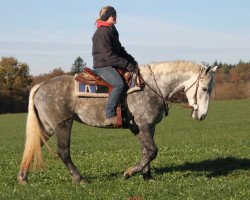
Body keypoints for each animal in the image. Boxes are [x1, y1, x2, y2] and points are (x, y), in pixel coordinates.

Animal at [17, 60, 217, 184]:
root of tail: (41, 85)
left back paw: (22, 177)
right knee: (63, 152)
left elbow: (146, 151)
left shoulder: (148, 127)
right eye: (204, 88)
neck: (151, 87)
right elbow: (152, 151)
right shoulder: (141, 126)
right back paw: (80, 179)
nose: (202, 115)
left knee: (34, 145)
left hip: (47, 126)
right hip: (63, 124)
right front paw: (129, 172)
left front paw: (147, 177)